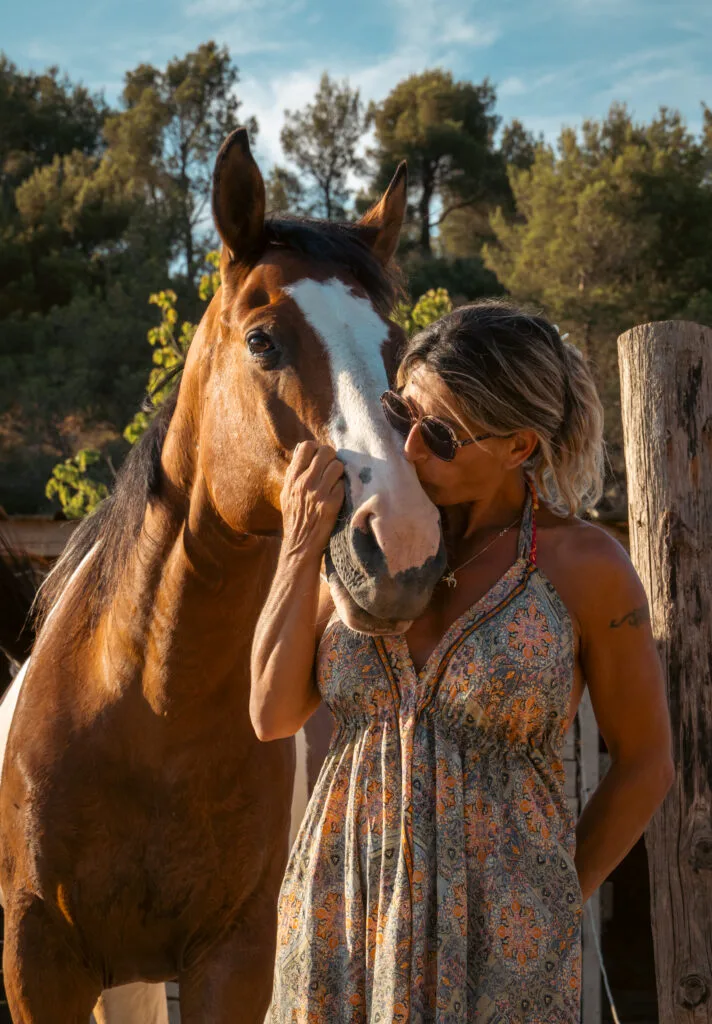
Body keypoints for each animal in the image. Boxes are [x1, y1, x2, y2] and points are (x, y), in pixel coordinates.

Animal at [0, 127, 445, 1023]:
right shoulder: (40, 957)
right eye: (263, 340)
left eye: (392, 348)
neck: (146, 706)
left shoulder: (235, 957)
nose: (405, 544)